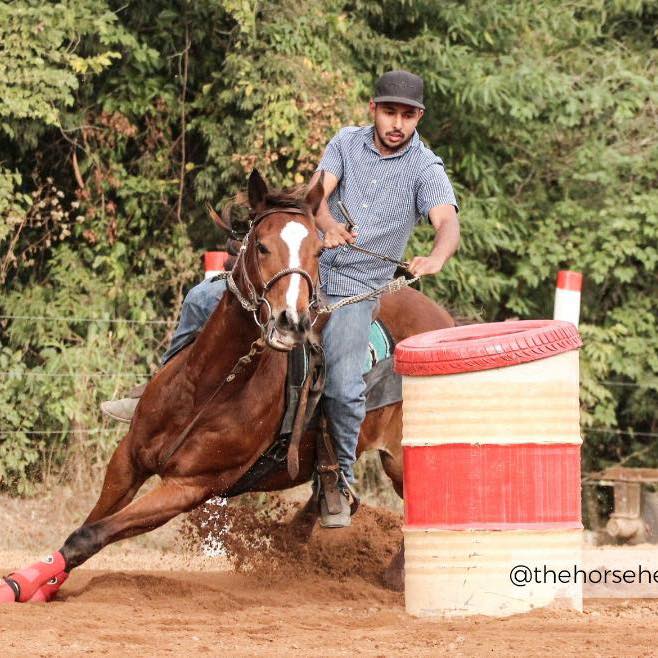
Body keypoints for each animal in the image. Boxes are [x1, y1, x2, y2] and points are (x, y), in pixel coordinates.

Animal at [0, 170, 452, 604]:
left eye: (317, 251)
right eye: (262, 246)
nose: (291, 322)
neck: (209, 385)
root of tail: (445, 320)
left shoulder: (190, 486)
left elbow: (89, 535)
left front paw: (20, 585)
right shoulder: (128, 458)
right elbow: (91, 522)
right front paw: (45, 583)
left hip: (399, 462)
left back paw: (395, 576)